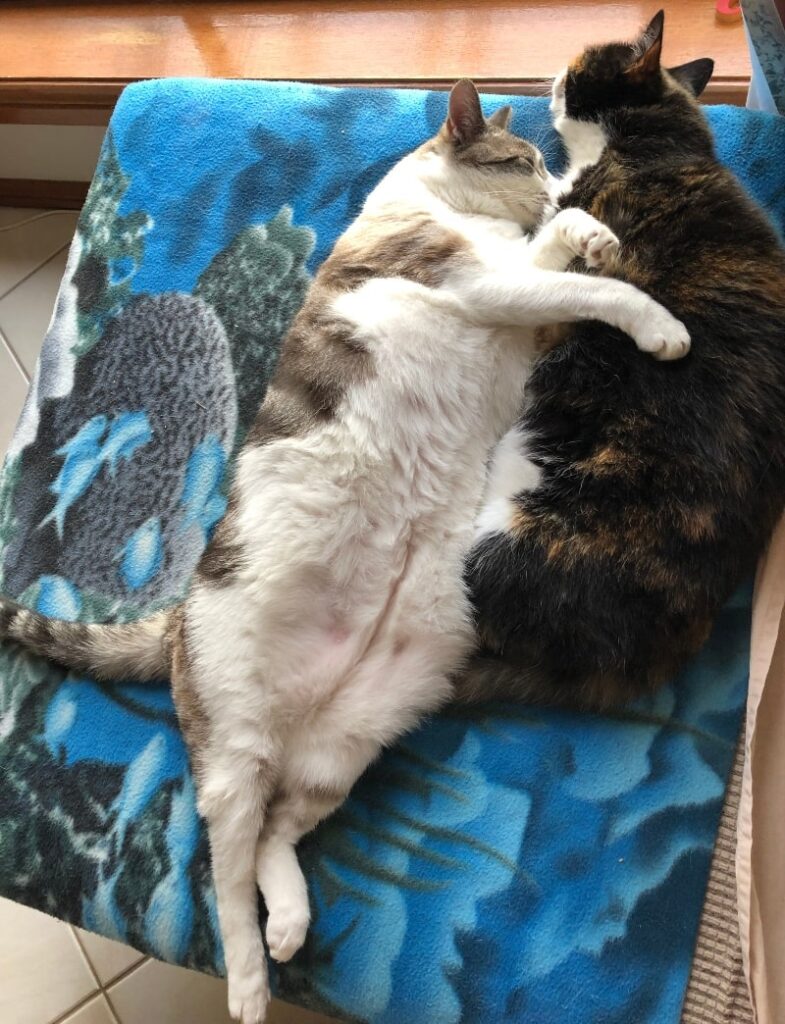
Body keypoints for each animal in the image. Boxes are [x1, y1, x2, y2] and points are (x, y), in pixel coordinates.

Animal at [0, 77, 687, 1015]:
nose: (557, 187)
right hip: (235, 747)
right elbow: (595, 293)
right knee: (226, 867)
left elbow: (558, 261)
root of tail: (175, 624)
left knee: (277, 835)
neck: (442, 210)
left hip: (353, 735)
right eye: (525, 160)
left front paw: (585, 232)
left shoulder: (517, 294)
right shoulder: (487, 285)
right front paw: (648, 313)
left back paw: (291, 920)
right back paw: (250, 983)